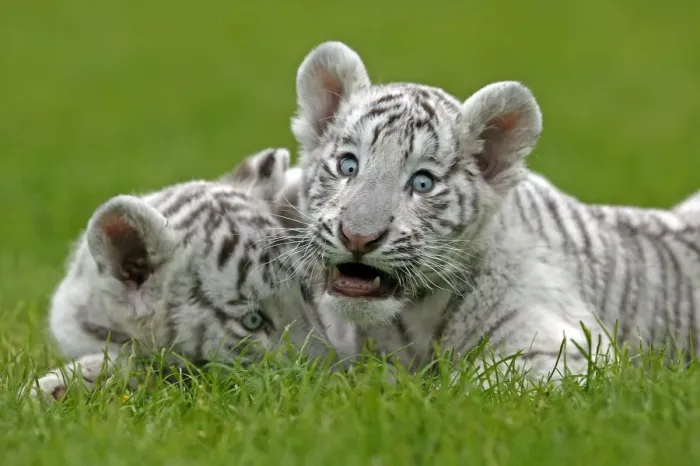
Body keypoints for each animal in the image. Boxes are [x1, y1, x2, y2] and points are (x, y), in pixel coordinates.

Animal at [286, 40, 700, 382]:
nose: (358, 237)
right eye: (348, 166)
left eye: (422, 183)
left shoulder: (563, 348)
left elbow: (479, 384)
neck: (411, 316)